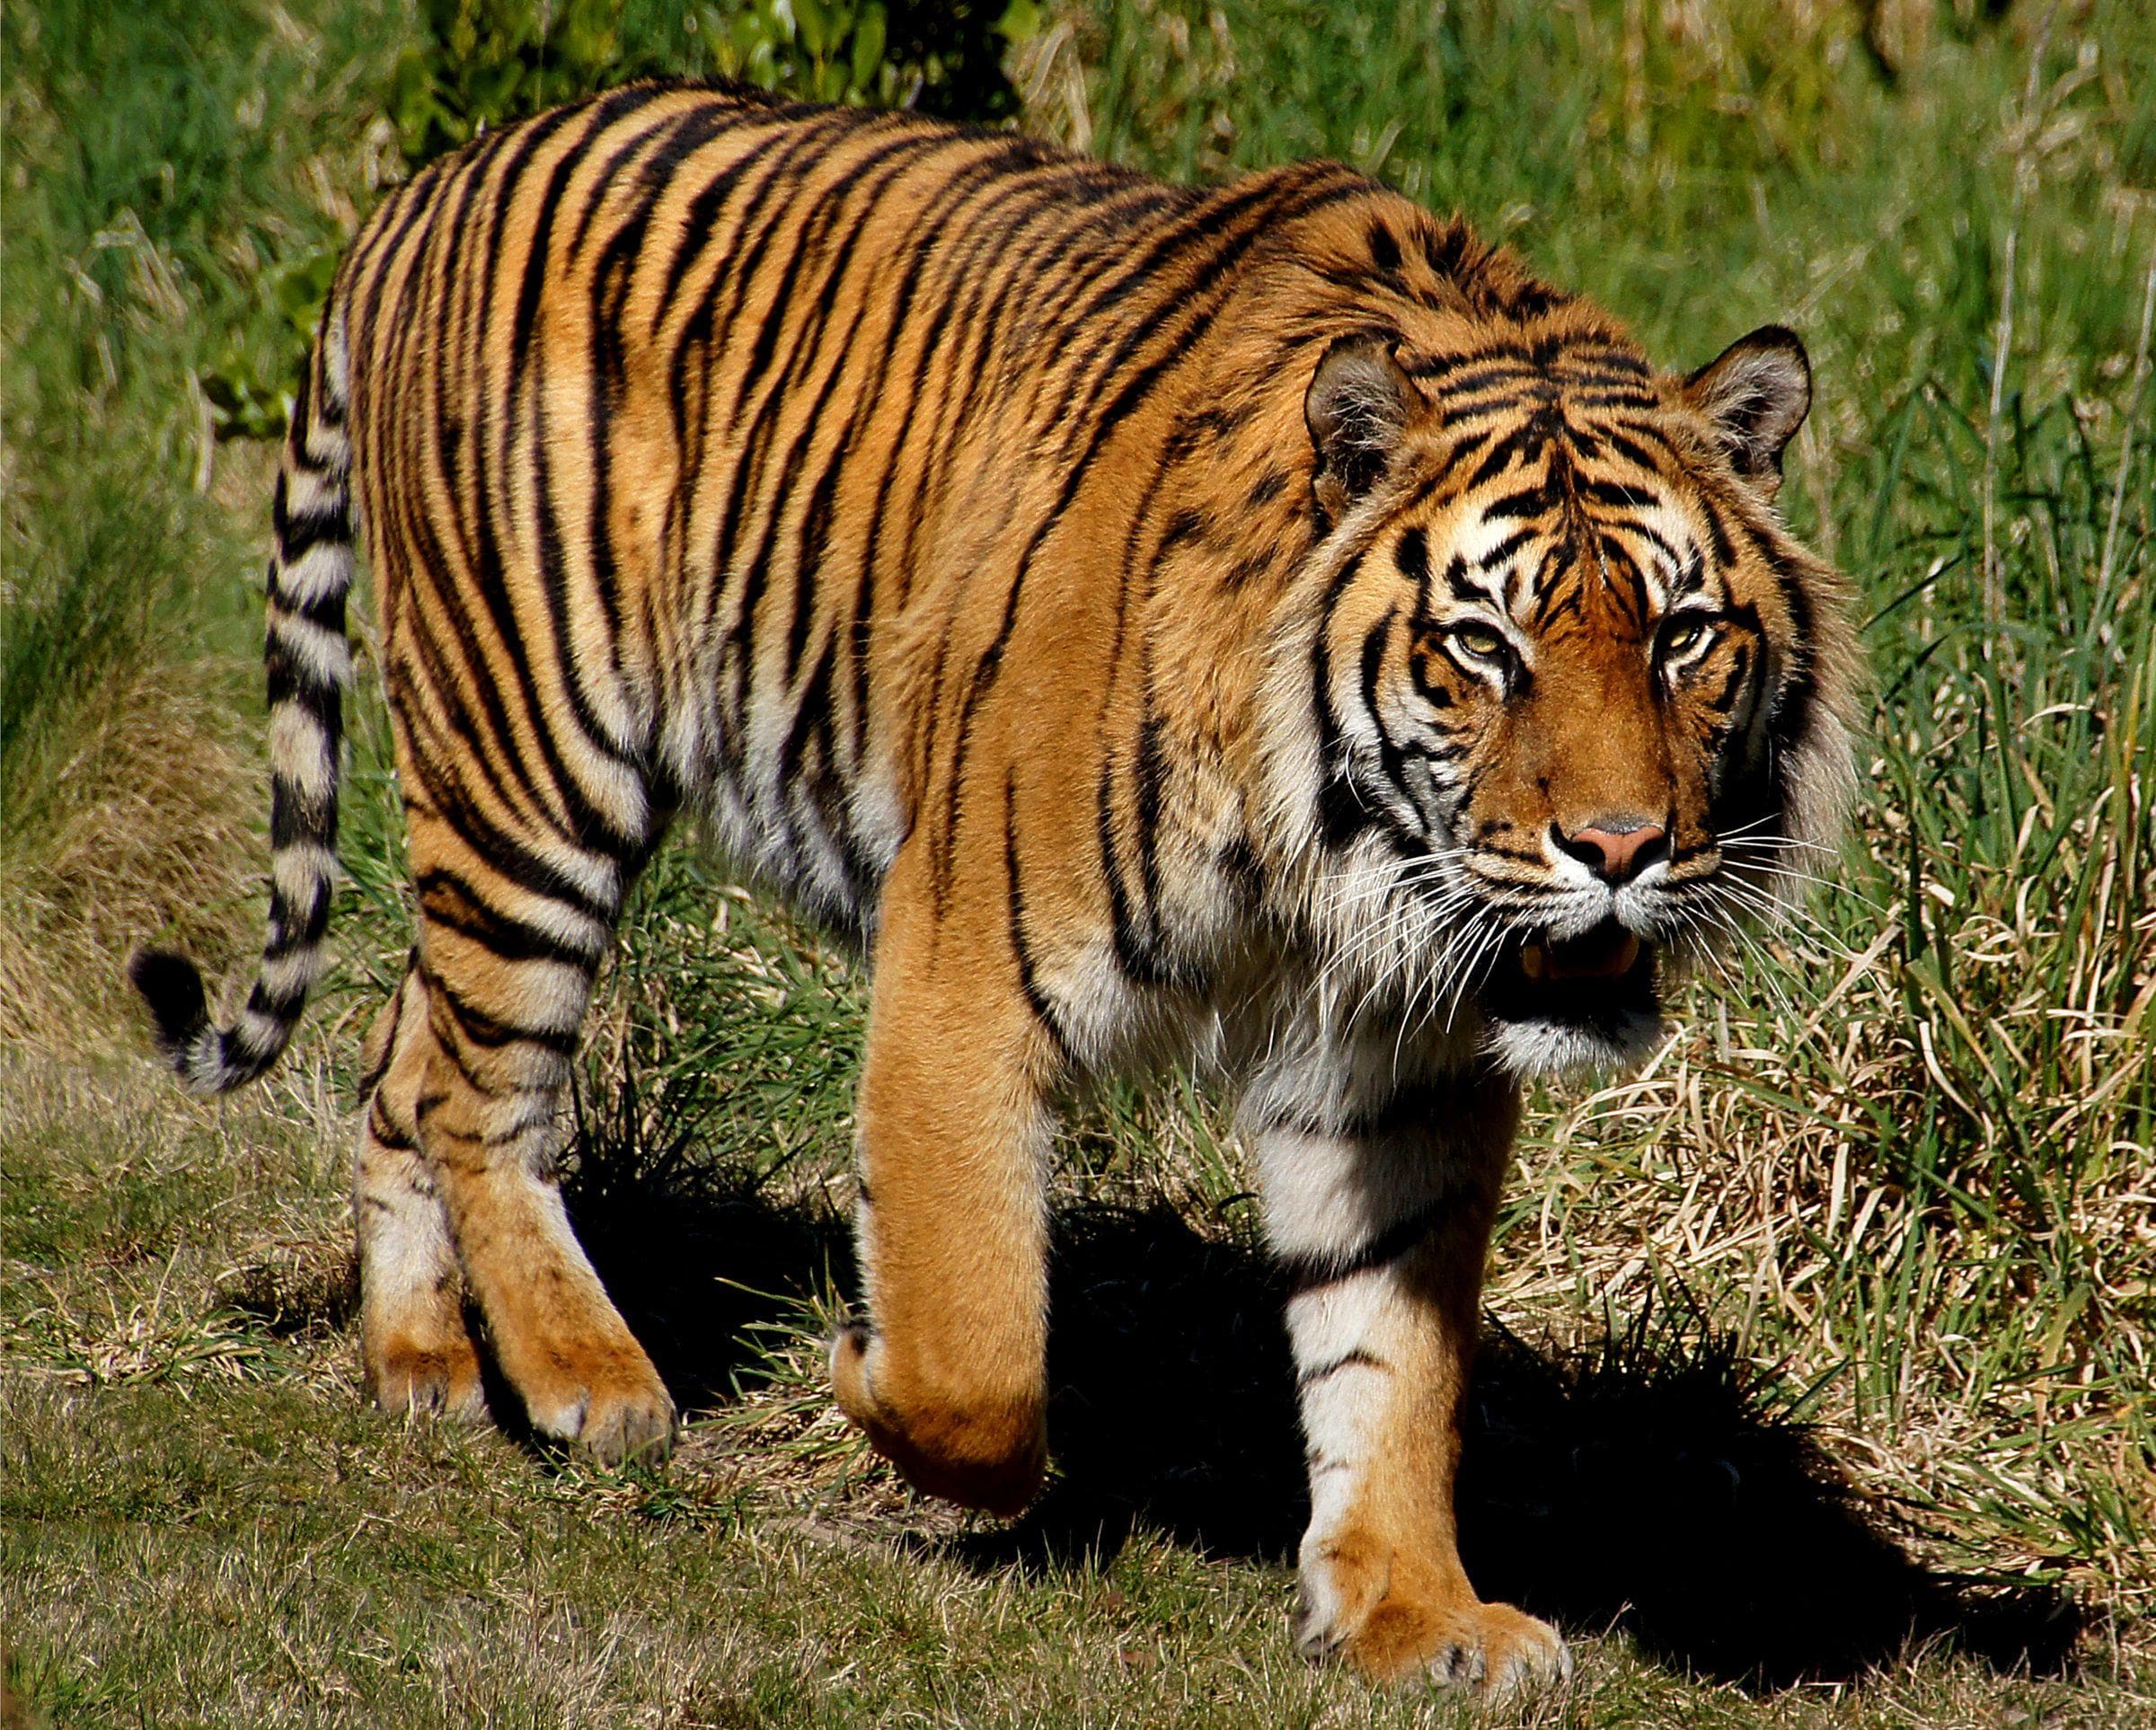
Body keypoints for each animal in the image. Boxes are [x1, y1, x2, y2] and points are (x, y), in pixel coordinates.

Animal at [130, 80, 1860, 1691]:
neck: (1342, 859)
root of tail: (424, 186)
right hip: (535, 754)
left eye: (1683, 638)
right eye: (1483, 646)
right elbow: (976, 1352)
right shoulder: (964, 962)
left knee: (405, 1056)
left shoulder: (1398, 1067)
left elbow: (1394, 1355)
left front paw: (1414, 1611)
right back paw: (587, 1378)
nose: (1622, 849)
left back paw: (421, 1358)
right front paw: (858, 1374)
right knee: (482, 1085)